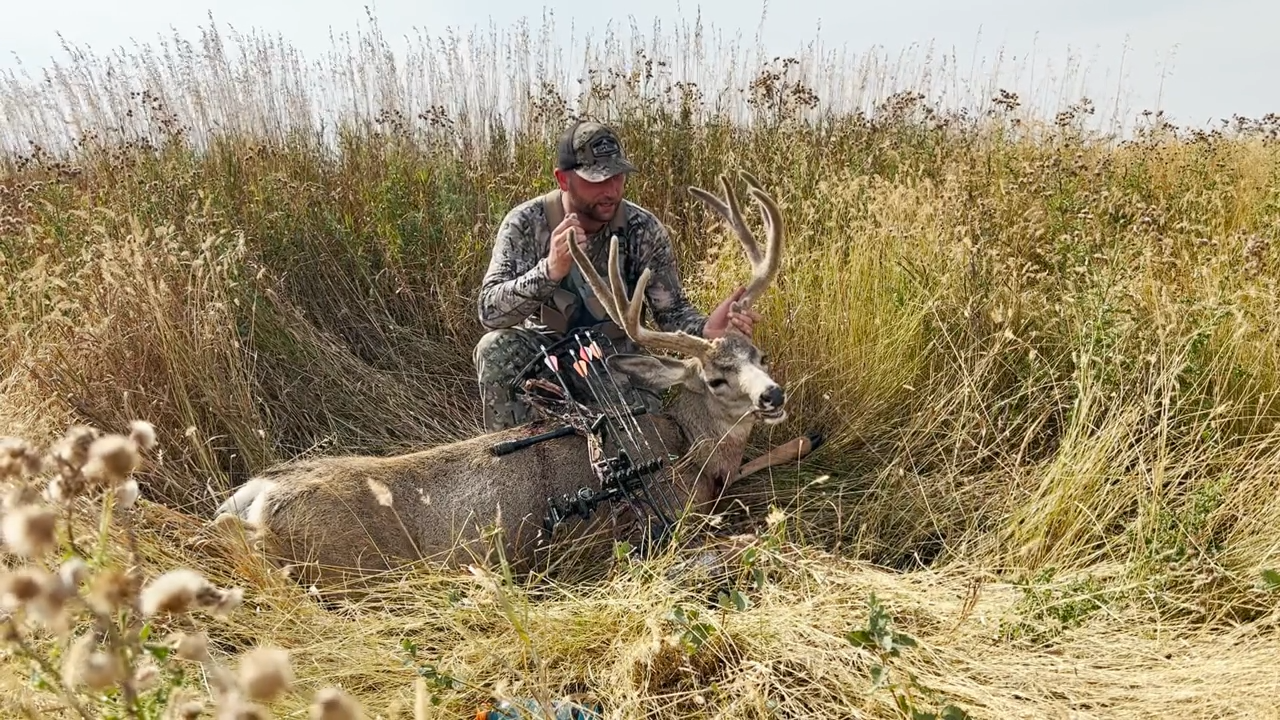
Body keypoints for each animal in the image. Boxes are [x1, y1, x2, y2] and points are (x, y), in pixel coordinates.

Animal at [210, 171, 817, 590]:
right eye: (715, 378)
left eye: (759, 354)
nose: (773, 395)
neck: (685, 451)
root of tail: (246, 503)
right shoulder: (664, 520)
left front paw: (804, 438)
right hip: (350, 572)